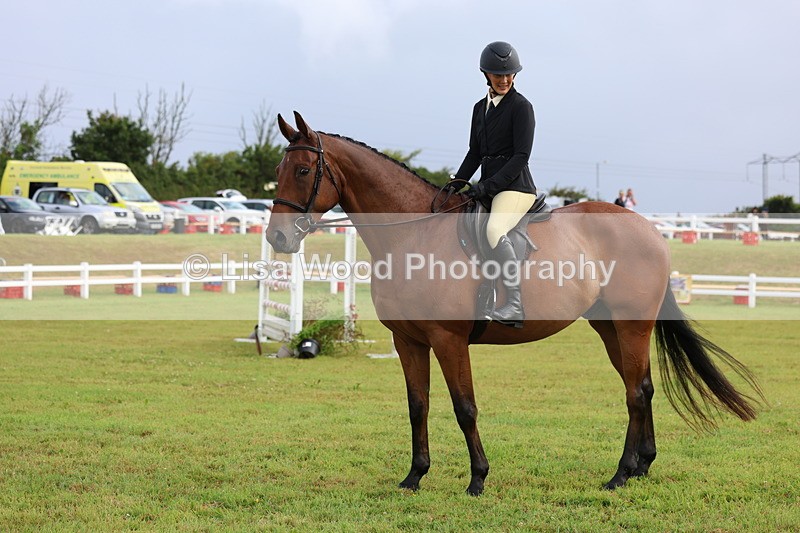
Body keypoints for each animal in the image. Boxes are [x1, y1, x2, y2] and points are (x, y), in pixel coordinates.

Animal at [266, 111, 763, 496]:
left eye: (304, 172)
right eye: (279, 168)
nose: (277, 238)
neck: (414, 234)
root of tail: (648, 229)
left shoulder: (448, 339)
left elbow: (464, 407)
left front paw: (477, 480)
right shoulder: (408, 341)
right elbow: (417, 405)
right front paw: (414, 477)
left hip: (631, 324)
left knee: (637, 391)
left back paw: (620, 475)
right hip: (610, 328)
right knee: (638, 386)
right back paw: (641, 465)